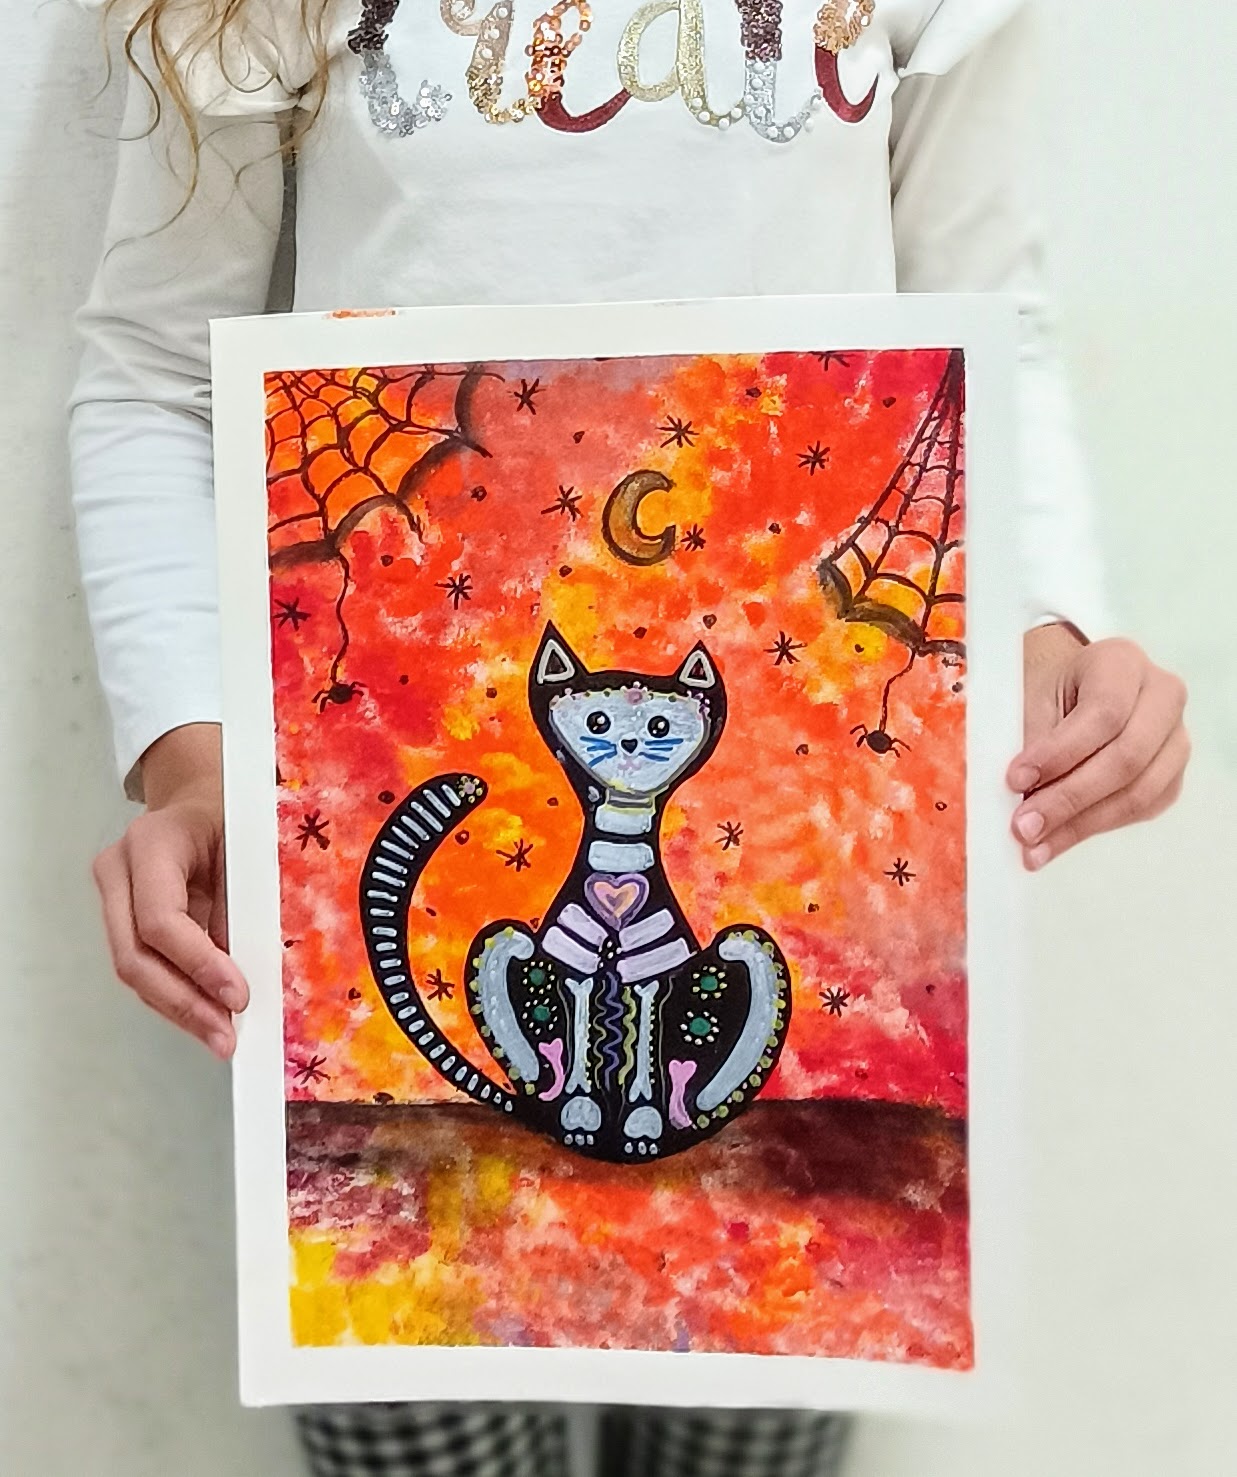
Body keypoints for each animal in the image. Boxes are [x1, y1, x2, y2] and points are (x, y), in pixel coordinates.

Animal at [359, 622, 792, 1162]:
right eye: (598, 719)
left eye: (660, 726)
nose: (628, 744)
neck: (617, 878)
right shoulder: (574, 970)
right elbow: (582, 1027)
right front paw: (582, 1117)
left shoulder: (652, 976)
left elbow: (644, 1041)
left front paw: (642, 1126)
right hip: (505, 945)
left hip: (745, 955)